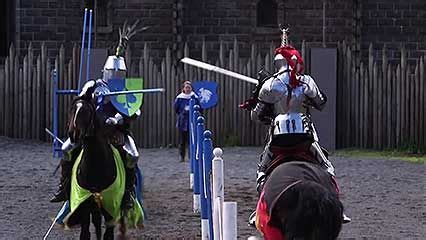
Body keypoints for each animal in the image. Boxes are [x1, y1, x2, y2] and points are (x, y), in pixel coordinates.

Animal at [65, 98, 130, 240]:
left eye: (86, 111)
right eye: (73, 109)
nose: (73, 134)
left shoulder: (111, 205)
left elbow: (108, 234)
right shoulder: (84, 204)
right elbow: (85, 233)